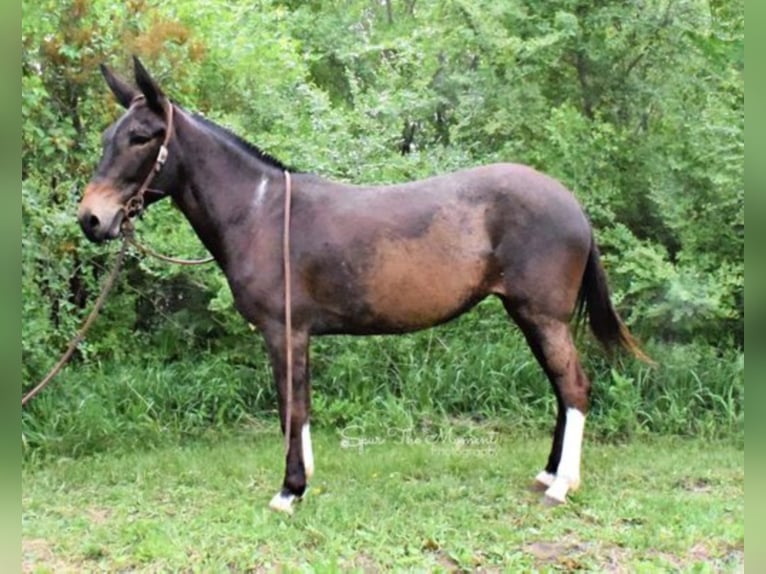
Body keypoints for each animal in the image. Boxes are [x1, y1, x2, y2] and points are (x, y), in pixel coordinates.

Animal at [79, 58, 648, 516]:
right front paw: (304, 481)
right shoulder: (298, 334)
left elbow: (291, 406)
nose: (91, 219)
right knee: (560, 388)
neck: (261, 213)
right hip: (528, 315)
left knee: (573, 387)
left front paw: (289, 491)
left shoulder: (283, 331)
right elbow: (300, 406)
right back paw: (548, 474)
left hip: (542, 315)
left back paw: (562, 486)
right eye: (109, 135)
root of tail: (571, 202)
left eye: (141, 136)